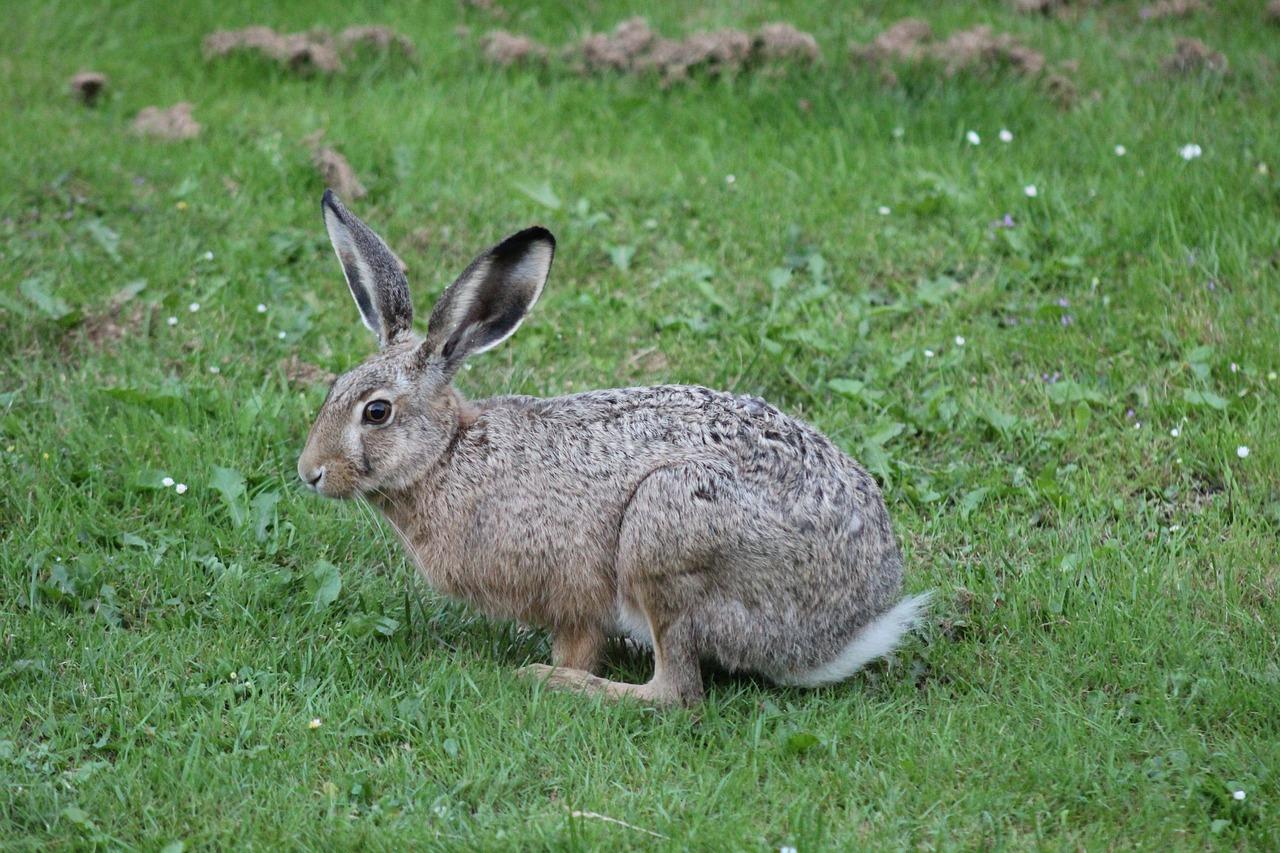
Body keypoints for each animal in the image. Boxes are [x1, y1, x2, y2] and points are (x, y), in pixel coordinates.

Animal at [296, 190, 931, 701]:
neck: (449, 455)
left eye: (377, 412)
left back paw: (561, 684)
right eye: (334, 387)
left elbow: (580, 641)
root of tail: (844, 629)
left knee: (677, 693)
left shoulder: (573, 593)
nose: (309, 473)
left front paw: (557, 670)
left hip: (666, 531)